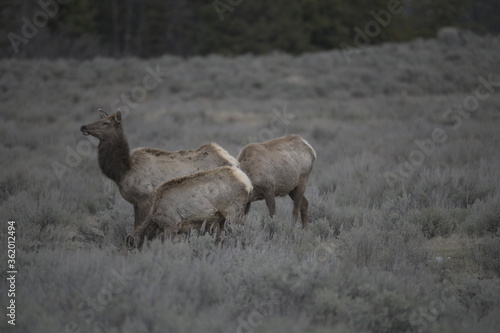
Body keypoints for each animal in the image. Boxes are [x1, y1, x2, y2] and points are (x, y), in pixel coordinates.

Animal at [80, 110, 240, 227]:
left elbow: (137, 228)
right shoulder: (136, 203)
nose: (83, 127)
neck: (123, 171)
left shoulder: (144, 200)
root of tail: (235, 162)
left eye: (105, 123)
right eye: (100, 120)